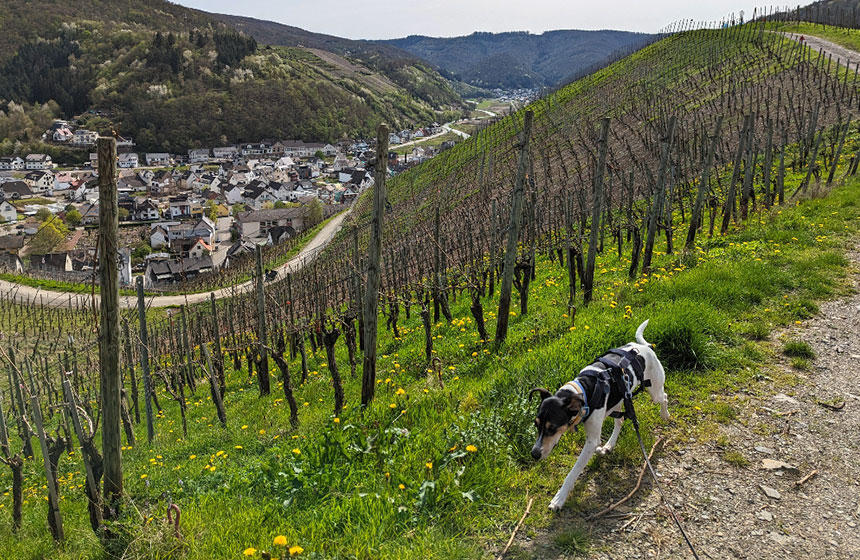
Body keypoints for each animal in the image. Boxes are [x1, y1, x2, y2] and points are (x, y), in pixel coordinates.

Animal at [528, 320, 668, 512]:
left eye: (552, 428)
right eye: (536, 425)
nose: (534, 454)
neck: (584, 389)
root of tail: (645, 347)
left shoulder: (591, 442)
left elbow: (573, 472)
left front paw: (559, 498)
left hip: (654, 390)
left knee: (664, 397)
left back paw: (665, 414)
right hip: (619, 400)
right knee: (620, 420)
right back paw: (609, 445)